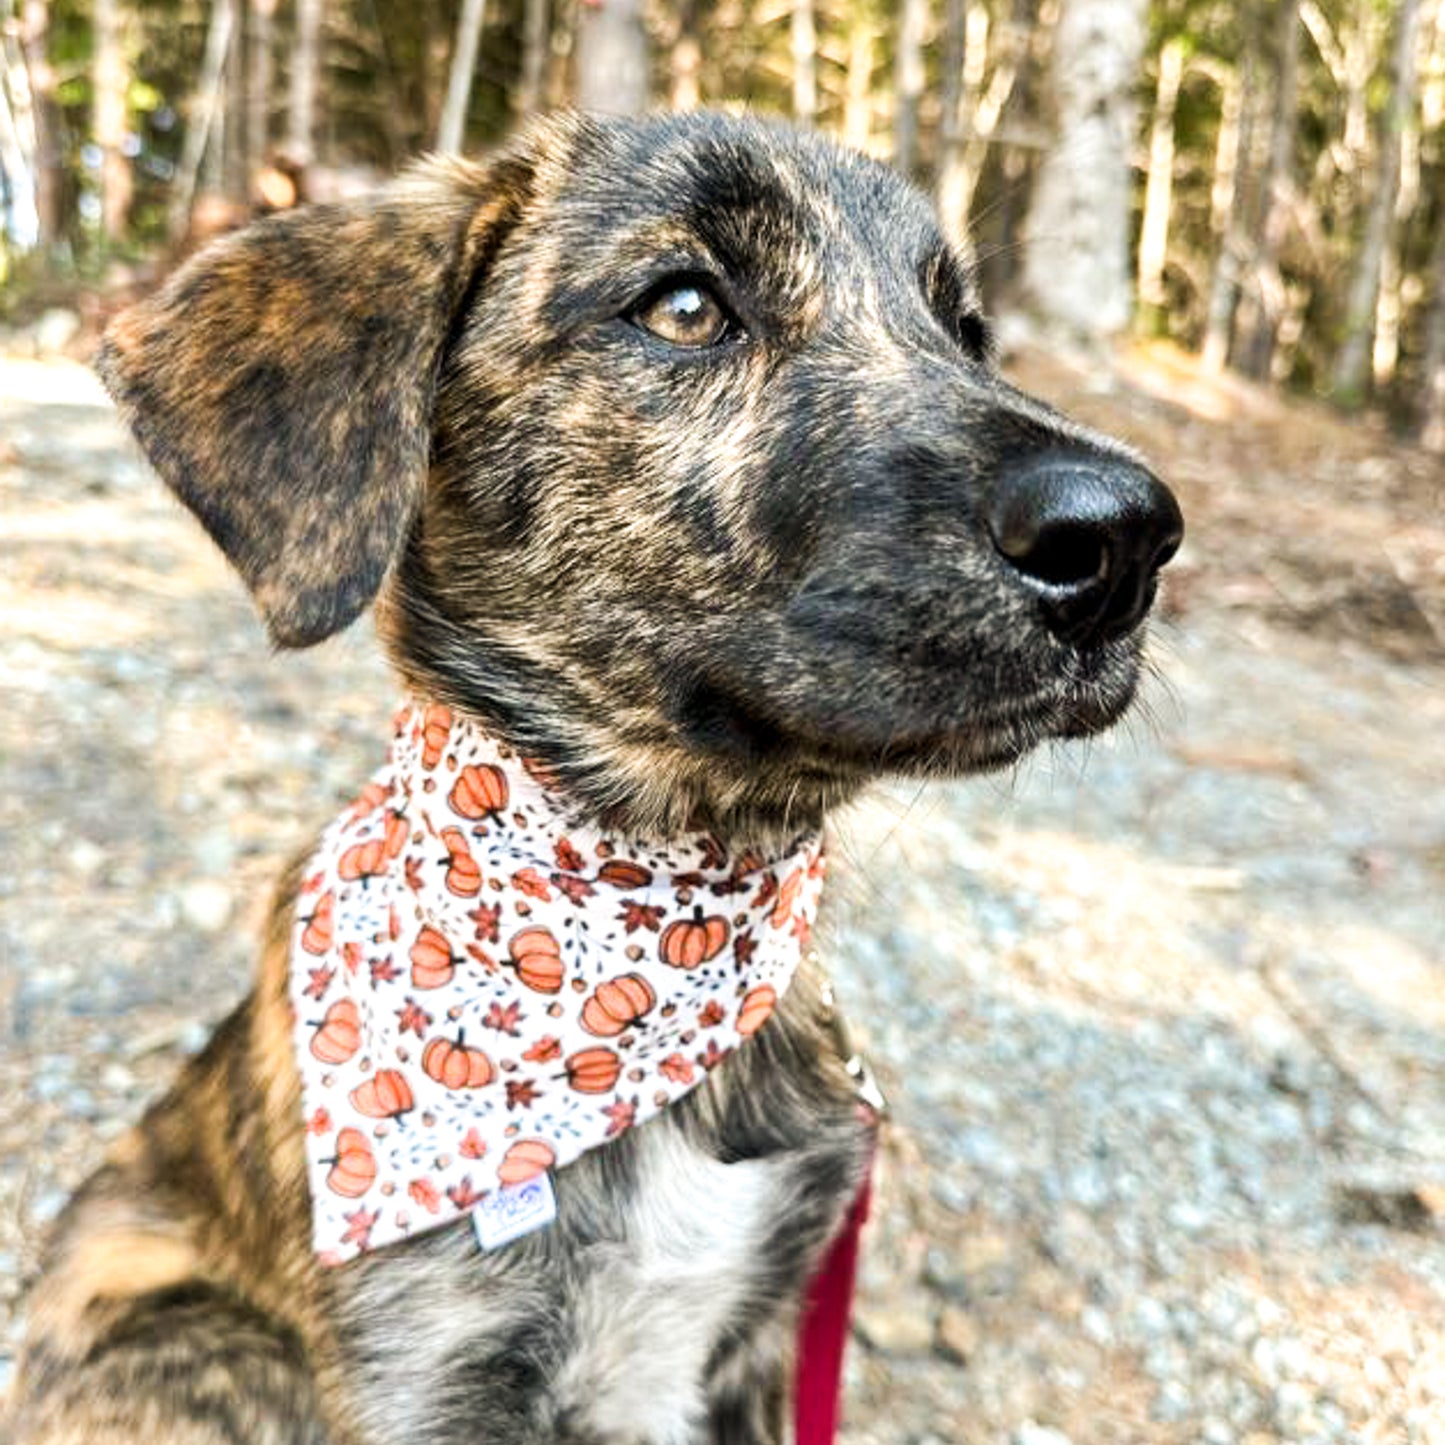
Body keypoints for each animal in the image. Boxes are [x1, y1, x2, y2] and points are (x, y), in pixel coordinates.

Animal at [8, 115, 1184, 1445]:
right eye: (682, 306)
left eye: (967, 330)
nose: (1126, 536)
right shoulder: (428, 1378)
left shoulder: (760, 1341)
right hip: (200, 1337)